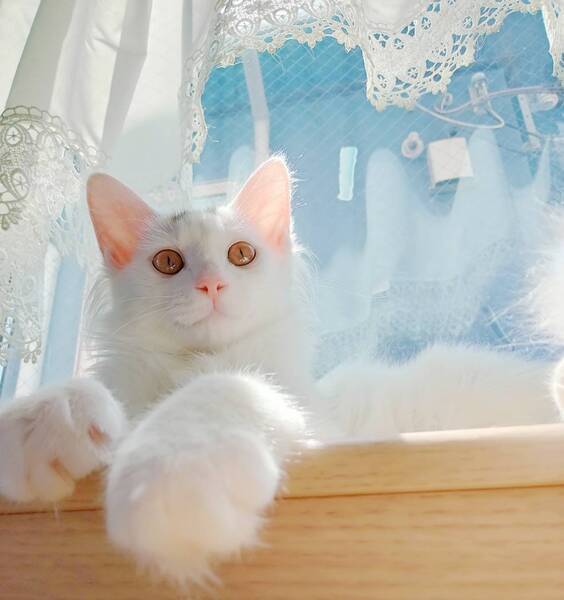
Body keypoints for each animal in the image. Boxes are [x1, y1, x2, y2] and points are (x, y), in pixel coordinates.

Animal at [0, 156, 561, 587]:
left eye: (241, 254)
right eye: (167, 262)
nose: (211, 285)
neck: (198, 361)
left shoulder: (312, 417)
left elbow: (228, 389)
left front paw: (170, 476)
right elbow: (96, 393)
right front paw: (43, 417)